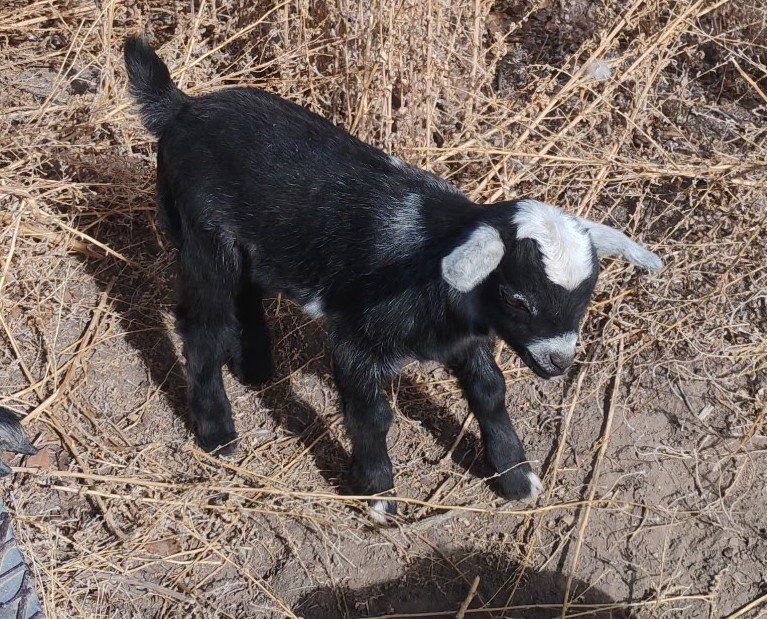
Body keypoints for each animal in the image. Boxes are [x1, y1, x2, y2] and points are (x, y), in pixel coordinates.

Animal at [124, 37, 662, 522]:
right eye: (517, 299)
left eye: (586, 297)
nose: (558, 363)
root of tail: (181, 108)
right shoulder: (356, 339)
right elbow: (372, 414)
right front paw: (380, 495)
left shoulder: (465, 336)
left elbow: (490, 391)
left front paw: (516, 476)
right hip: (202, 232)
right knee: (204, 326)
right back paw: (218, 432)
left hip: (251, 244)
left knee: (247, 289)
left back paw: (256, 366)